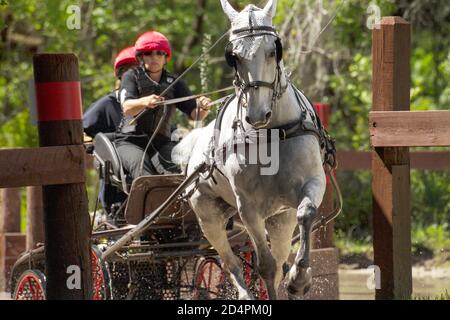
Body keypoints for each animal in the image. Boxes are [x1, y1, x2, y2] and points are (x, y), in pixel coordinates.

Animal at [172, 0, 326, 300]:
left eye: (273, 50)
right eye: (234, 56)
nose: (257, 114)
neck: (272, 134)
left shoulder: (313, 183)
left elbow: (306, 215)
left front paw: (300, 278)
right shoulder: (248, 207)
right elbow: (264, 266)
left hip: (279, 220)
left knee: (277, 258)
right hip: (209, 217)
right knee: (229, 261)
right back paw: (244, 295)